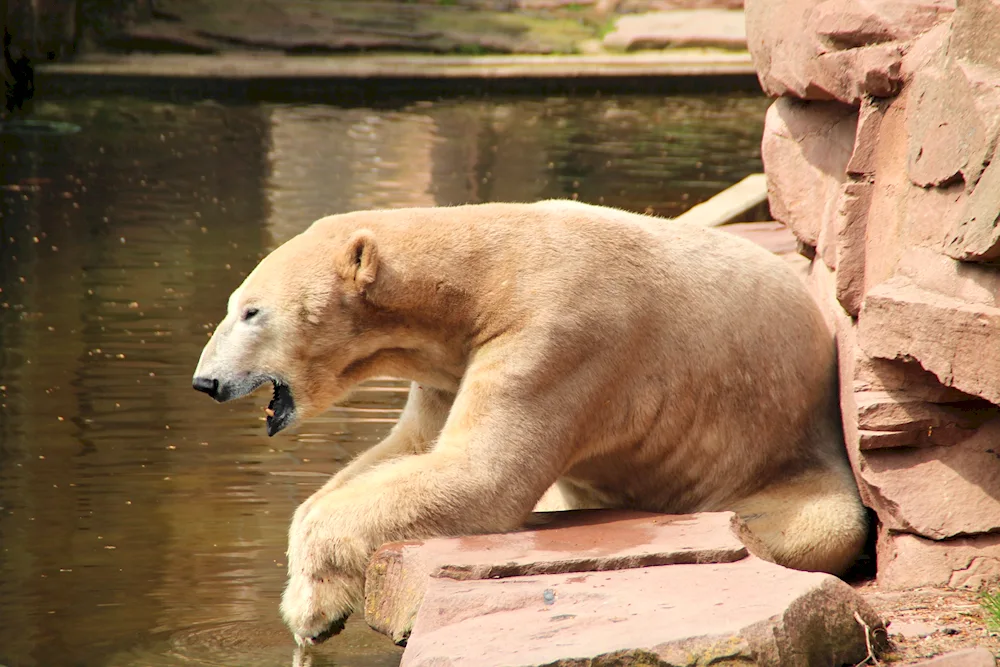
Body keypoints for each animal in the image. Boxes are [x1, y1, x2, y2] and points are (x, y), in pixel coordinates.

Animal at [191, 200, 864, 648]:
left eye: (251, 311)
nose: (205, 381)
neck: (480, 273)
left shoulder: (557, 335)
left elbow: (480, 476)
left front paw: (313, 609)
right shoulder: (448, 364)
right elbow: (410, 447)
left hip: (785, 458)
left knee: (816, 524)